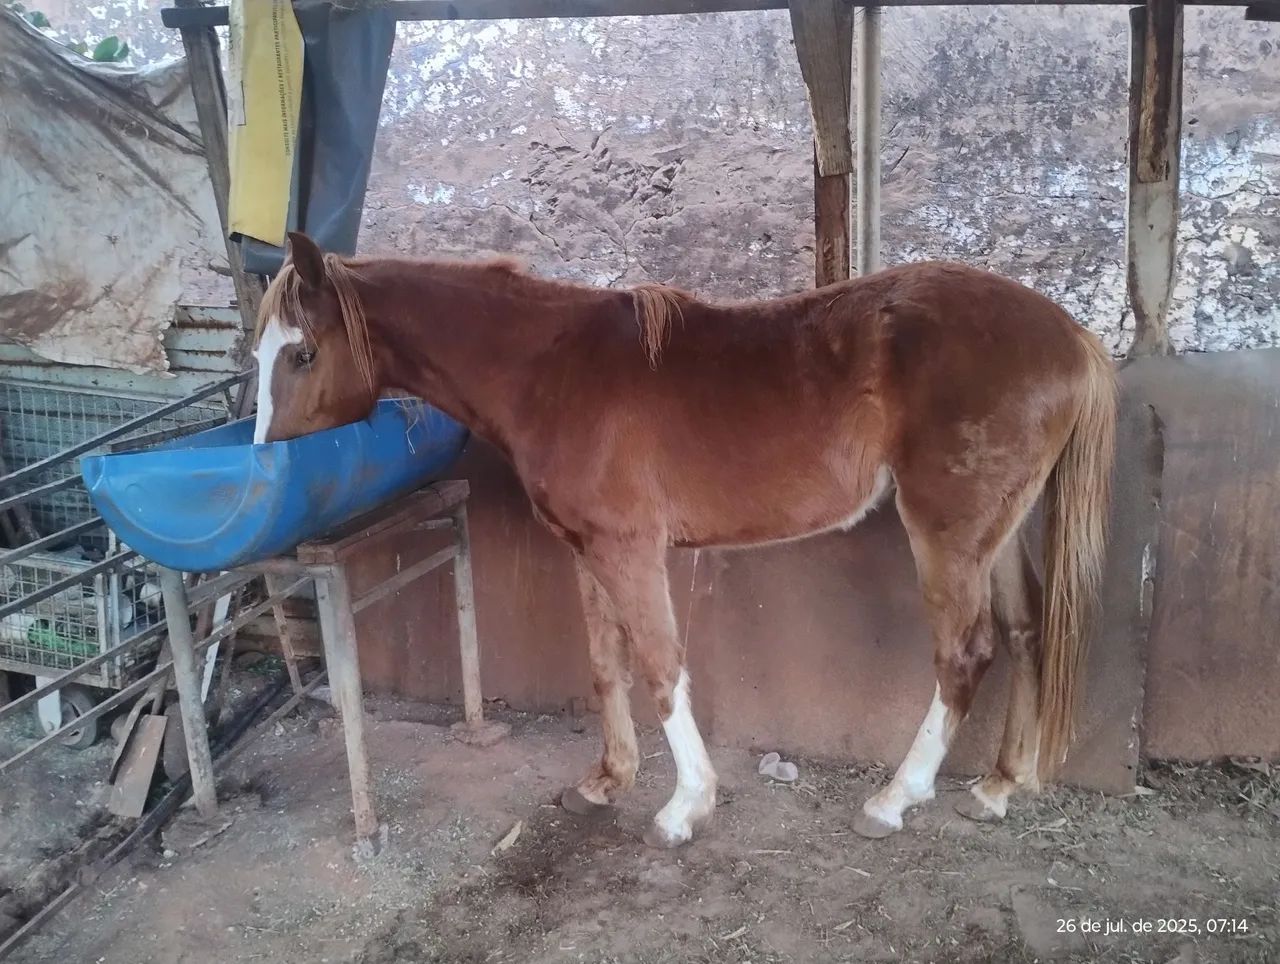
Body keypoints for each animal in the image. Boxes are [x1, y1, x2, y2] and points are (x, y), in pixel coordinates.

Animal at [253, 231, 1116, 848]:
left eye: (303, 352)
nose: (262, 460)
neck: (548, 371)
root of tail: (1070, 337)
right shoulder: (587, 549)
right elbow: (606, 664)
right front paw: (607, 780)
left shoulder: (630, 550)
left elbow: (661, 664)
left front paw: (685, 807)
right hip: (995, 533)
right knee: (1026, 632)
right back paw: (998, 787)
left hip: (946, 532)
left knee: (965, 653)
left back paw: (894, 800)